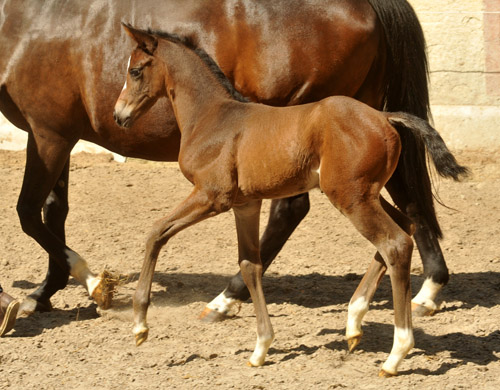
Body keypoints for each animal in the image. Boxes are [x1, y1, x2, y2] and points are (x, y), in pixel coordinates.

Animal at [0, 0, 442, 316]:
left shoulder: (49, 132)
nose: (118, 115)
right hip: (360, 128)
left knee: (294, 210)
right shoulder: (60, 135)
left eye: (136, 70)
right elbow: (54, 211)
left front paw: (91, 283)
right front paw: (48, 290)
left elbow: (29, 212)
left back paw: (227, 297)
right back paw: (429, 286)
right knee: (405, 198)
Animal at [114, 23, 468, 374]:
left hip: (351, 198)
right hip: (364, 193)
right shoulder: (245, 204)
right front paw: (260, 348)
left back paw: (395, 353)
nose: (119, 115)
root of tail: (384, 117)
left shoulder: (212, 196)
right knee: (405, 227)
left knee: (394, 243)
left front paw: (140, 325)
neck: (212, 117)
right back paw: (354, 321)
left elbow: (156, 232)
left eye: (135, 70)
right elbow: (250, 264)